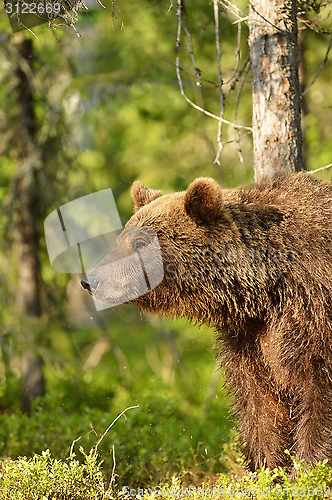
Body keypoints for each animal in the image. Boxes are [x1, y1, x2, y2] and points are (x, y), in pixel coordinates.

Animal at [81, 174, 332, 474]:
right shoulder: (250, 338)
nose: (90, 280)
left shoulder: (312, 313)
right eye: (120, 239)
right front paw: (267, 468)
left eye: (140, 243)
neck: (266, 289)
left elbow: (319, 394)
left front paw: (307, 469)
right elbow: (260, 405)